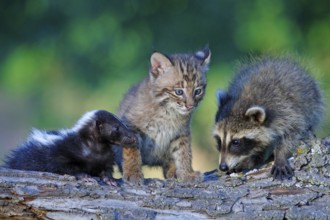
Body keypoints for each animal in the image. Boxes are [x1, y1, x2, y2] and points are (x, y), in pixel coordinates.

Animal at [117, 48, 210, 182]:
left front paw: (187, 173)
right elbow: (132, 150)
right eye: (179, 92)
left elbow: (184, 152)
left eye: (198, 91)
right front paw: (132, 172)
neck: (168, 111)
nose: (190, 106)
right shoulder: (131, 126)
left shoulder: (181, 132)